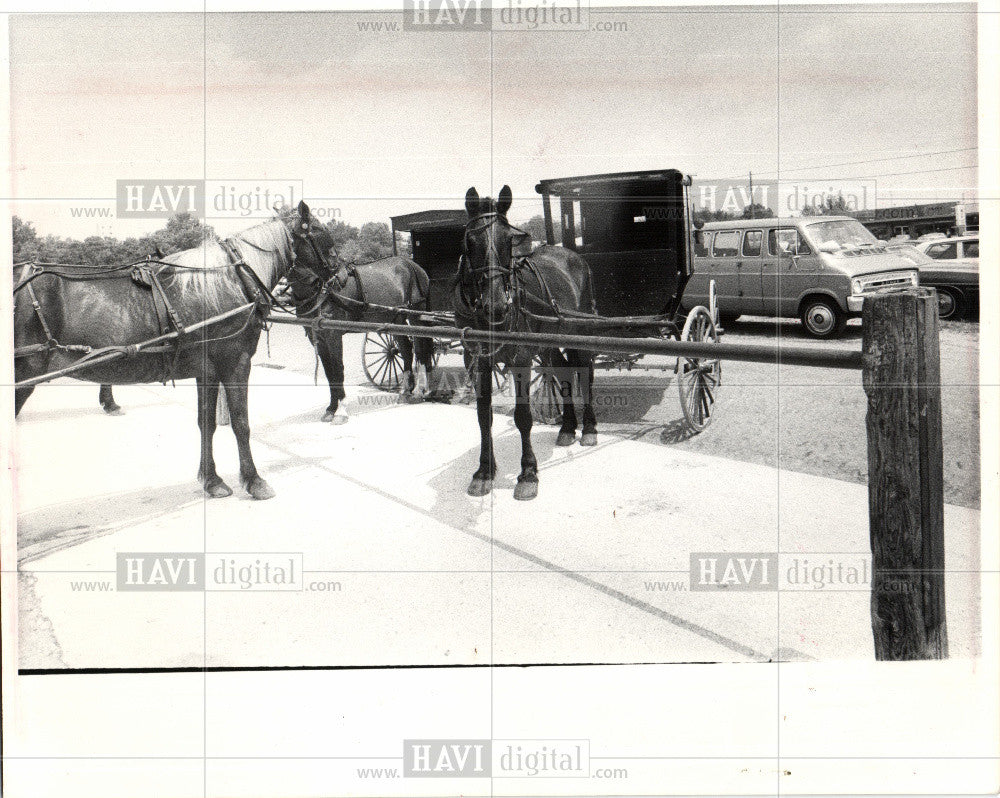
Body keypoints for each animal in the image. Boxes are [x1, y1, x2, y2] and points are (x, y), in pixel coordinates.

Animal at [13, 200, 322, 500]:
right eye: (322, 232)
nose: (331, 280)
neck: (230, 280)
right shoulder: (236, 362)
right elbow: (241, 422)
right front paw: (255, 481)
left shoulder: (207, 370)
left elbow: (206, 422)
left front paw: (211, 480)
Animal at [284, 211, 436, 424]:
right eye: (319, 232)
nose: (338, 277)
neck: (320, 290)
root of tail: (413, 265)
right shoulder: (317, 337)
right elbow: (329, 372)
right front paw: (331, 409)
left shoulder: (333, 334)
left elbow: (338, 369)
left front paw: (341, 411)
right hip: (395, 319)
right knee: (406, 349)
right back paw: (405, 391)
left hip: (416, 315)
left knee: (420, 347)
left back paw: (419, 391)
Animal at [458, 187, 596, 500]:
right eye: (470, 241)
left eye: (509, 239)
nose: (496, 305)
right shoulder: (478, 362)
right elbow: (483, 416)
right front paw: (483, 472)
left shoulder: (520, 360)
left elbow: (523, 417)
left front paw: (528, 474)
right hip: (548, 344)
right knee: (563, 372)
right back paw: (568, 428)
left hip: (578, 332)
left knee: (584, 373)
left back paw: (589, 429)